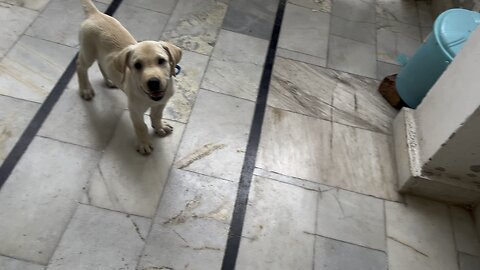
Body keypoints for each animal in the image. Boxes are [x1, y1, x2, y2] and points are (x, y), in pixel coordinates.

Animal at [78, 0, 181, 155]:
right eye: (137, 65)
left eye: (161, 61)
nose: (153, 82)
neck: (149, 97)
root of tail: (95, 14)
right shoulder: (134, 109)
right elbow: (141, 126)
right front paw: (144, 143)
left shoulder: (162, 102)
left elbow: (157, 115)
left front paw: (159, 126)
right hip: (88, 51)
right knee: (81, 66)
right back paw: (85, 90)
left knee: (102, 64)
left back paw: (110, 81)